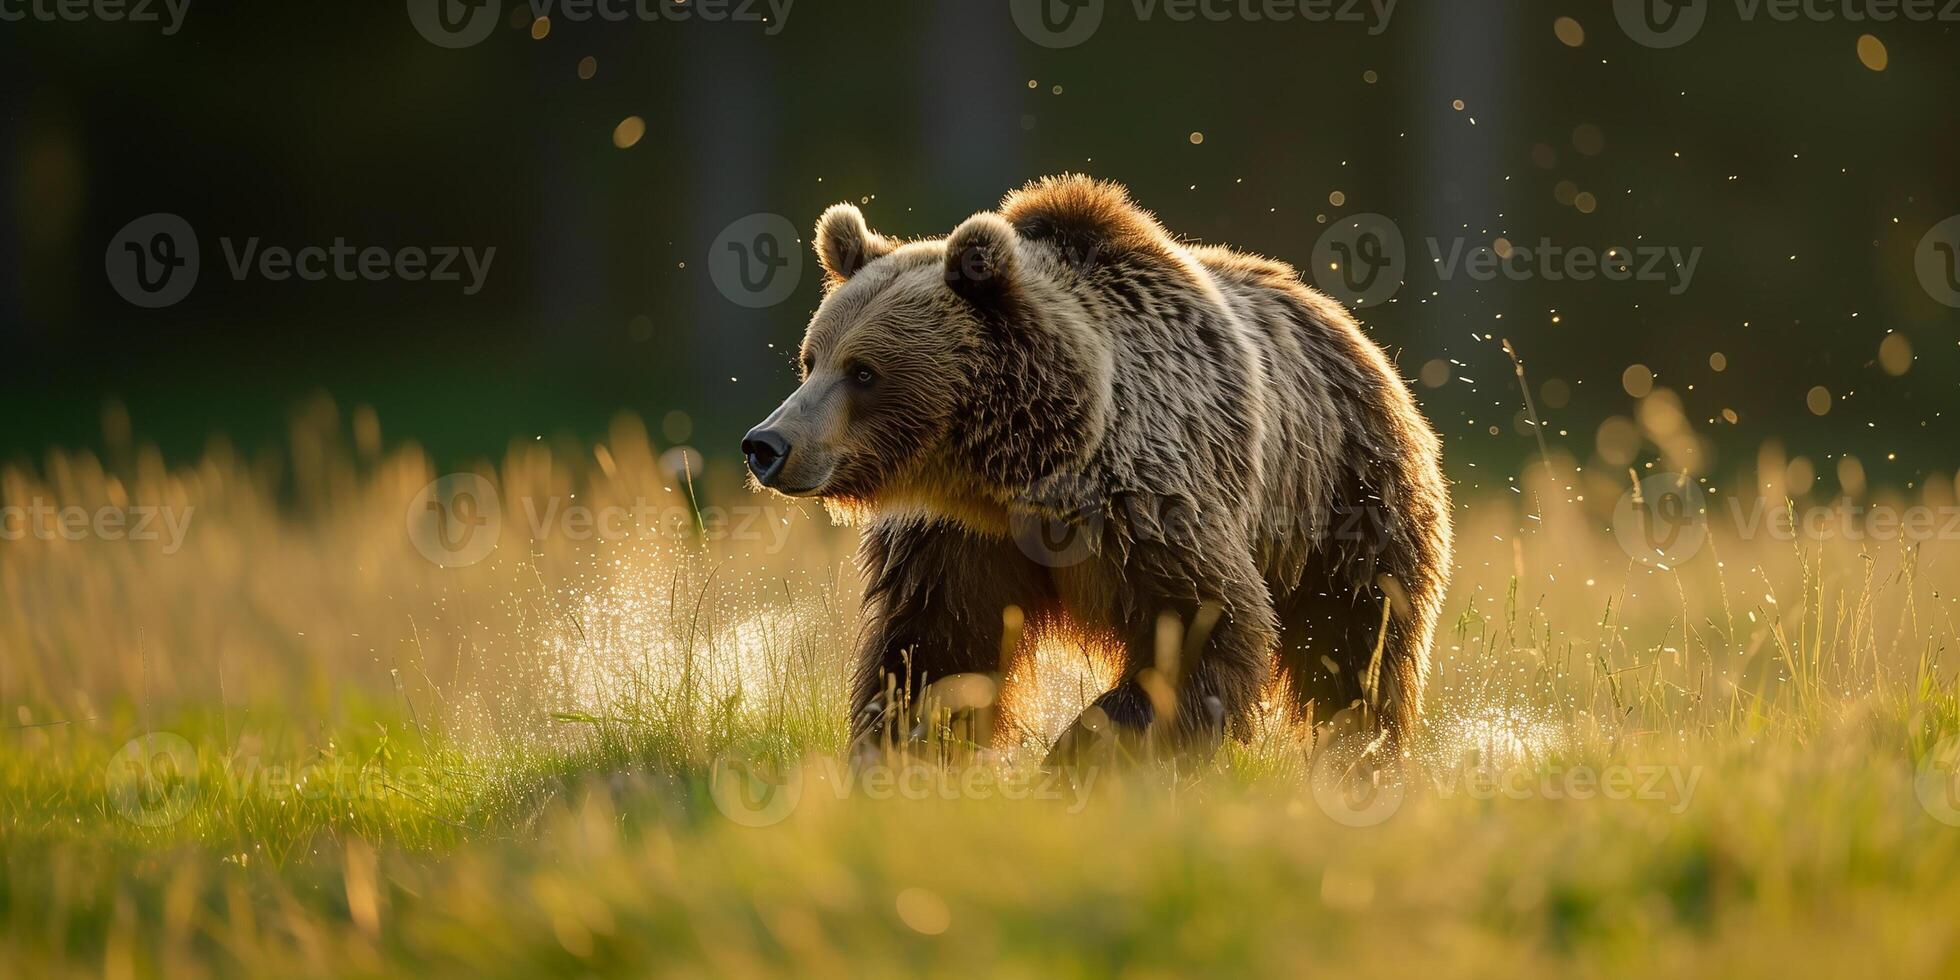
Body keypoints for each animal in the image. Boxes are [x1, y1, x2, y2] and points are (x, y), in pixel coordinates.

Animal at [740, 174, 1450, 756]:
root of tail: (1355, 336)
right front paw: (902, 748)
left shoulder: (1147, 507)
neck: (1015, 473)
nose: (767, 444)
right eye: (811, 359)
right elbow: (935, 651)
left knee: (1356, 645)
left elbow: (1203, 624)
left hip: (1344, 498)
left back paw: (1363, 751)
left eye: (863, 371)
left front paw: (1084, 755)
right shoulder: (956, 541)